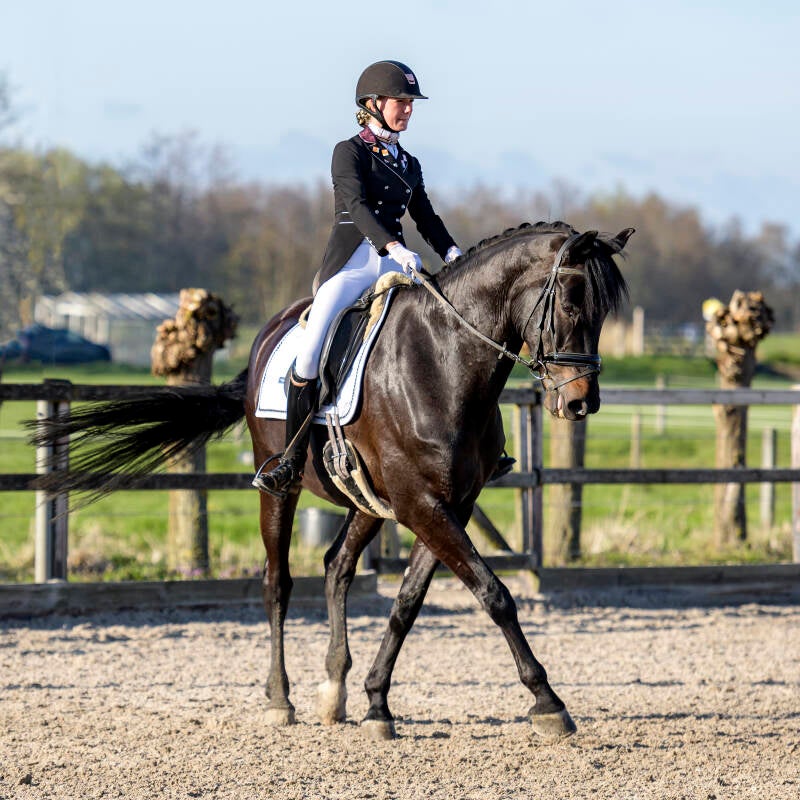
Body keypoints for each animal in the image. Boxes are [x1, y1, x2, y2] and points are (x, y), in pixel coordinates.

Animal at [32, 220, 632, 741]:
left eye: (604, 312)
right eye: (571, 303)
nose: (582, 403)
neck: (443, 361)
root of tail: (266, 339)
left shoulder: (450, 505)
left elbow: (408, 602)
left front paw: (376, 702)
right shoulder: (420, 504)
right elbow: (494, 593)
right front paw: (548, 702)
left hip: (365, 502)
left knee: (336, 566)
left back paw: (334, 690)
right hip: (281, 488)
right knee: (277, 583)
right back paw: (280, 699)